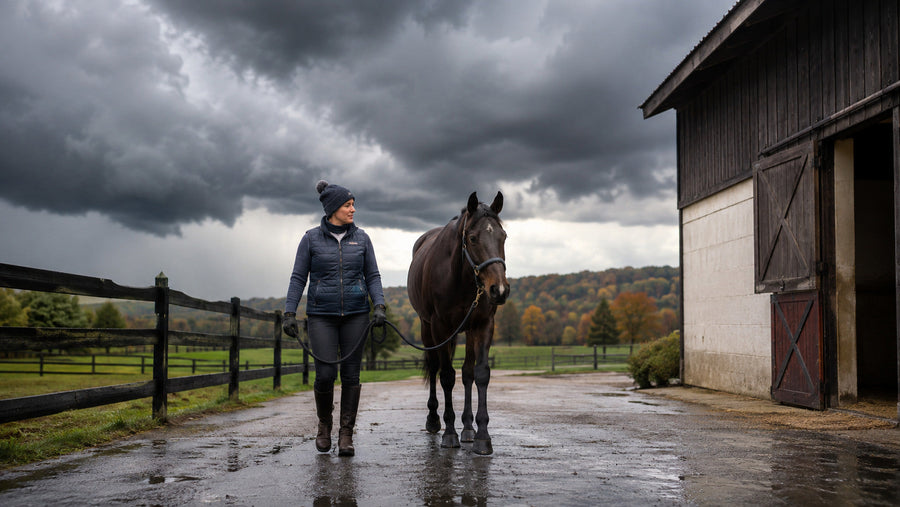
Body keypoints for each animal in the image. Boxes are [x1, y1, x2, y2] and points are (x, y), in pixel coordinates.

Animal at [407, 191, 509, 455]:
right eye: (472, 238)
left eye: (503, 236)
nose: (499, 290)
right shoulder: (440, 327)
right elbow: (446, 377)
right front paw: (450, 432)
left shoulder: (483, 325)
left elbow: (479, 374)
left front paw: (481, 434)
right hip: (427, 328)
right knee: (435, 368)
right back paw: (434, 420)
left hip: (467, 331)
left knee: (467, 373)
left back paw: (469, 428)